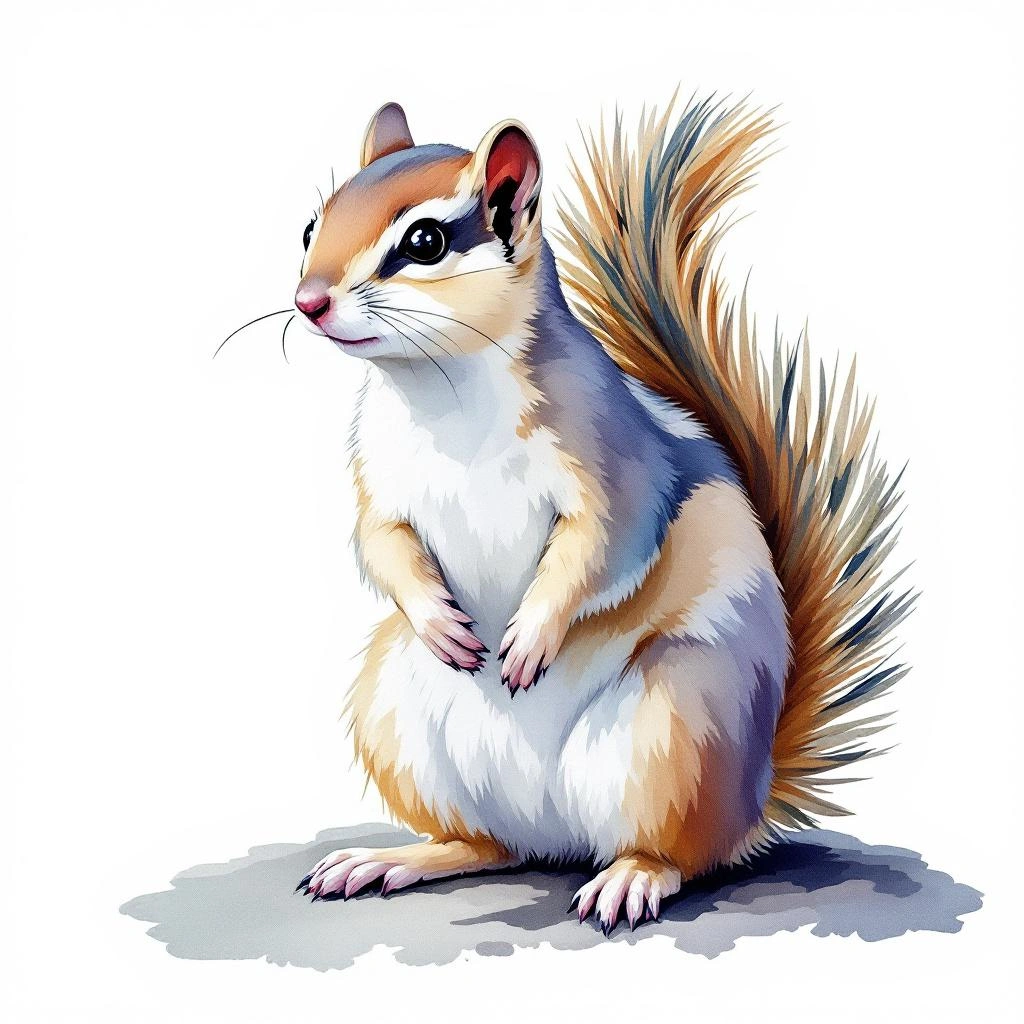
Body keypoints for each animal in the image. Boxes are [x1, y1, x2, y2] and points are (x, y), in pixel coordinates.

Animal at [287, 97, 913, 933]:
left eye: (424, 242)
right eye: (310, 227)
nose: (309, 302)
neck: (440, 387)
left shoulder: (616, 464)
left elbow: (604, 547)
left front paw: (529, 638)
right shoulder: (379, 483)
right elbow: (379, 544)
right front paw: (440, 621)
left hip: (675, 724)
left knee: (680, 853)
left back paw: (632, 877)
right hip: (396, 714)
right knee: (485, 845)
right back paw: (394, 858)